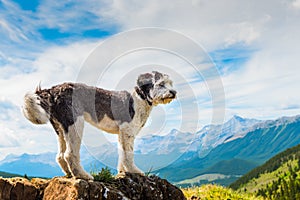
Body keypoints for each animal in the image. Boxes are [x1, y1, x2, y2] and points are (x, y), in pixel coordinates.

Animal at [22, 70, 176, 180]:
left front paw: (122, 171)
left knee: (60, 155)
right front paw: (134, 171)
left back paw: (70, 174)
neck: (140, 98)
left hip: (60, 127)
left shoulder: (122, 134)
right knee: (69, 154)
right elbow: (128, 154)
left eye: (170, 83)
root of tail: (52, 90)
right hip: (75, 123)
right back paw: (82, 175)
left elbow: (122, 153)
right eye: (161, 84)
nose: (173, 92)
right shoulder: (127, 131)